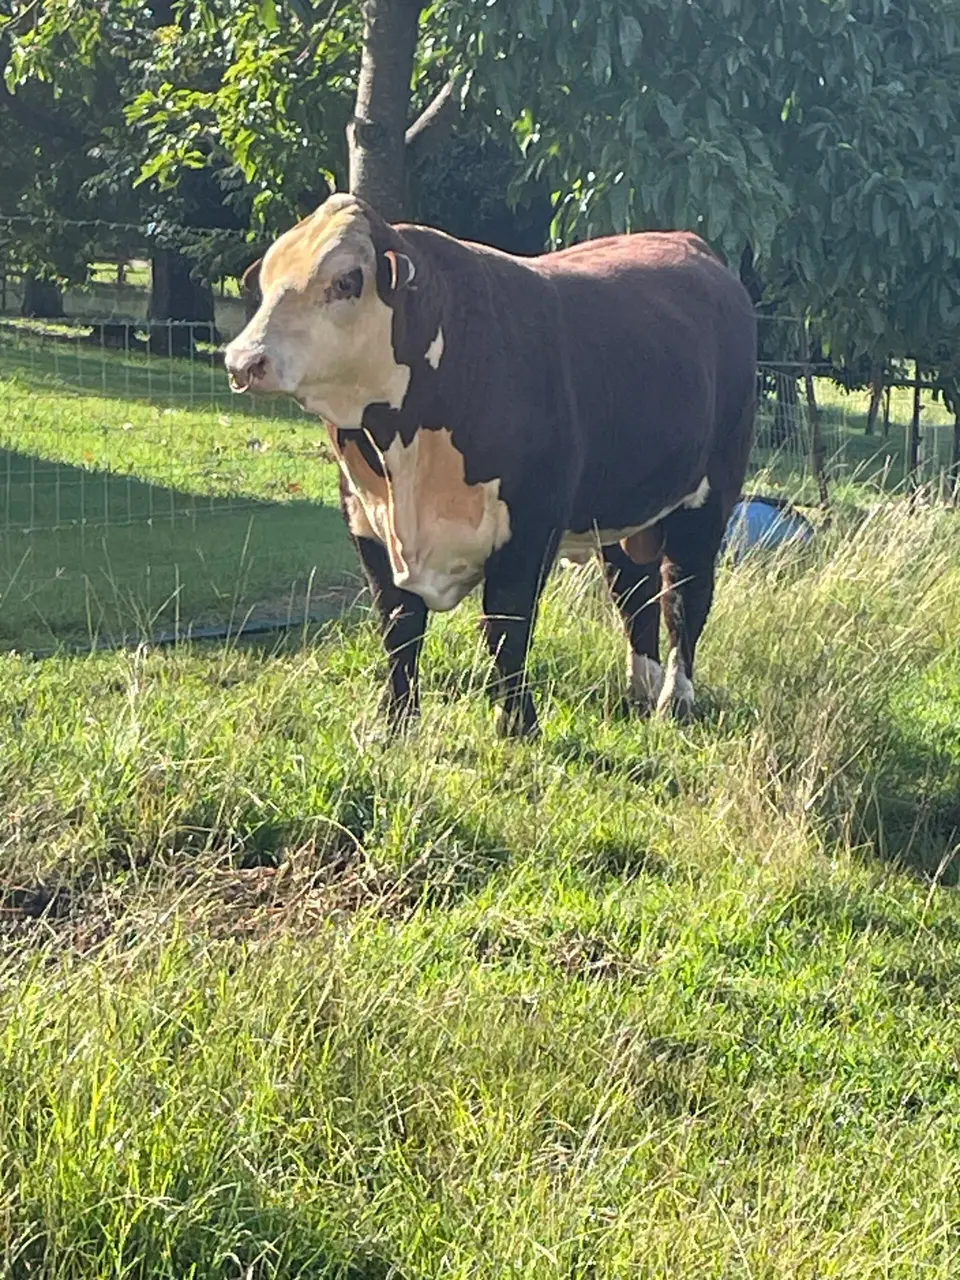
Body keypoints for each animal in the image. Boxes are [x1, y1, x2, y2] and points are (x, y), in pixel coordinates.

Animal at [224, 193, 757, 739]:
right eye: (267, 282)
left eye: (347, 280)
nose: (242, 361)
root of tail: (688, 243)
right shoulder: (367, 524)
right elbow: (399, 627)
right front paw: (395, 725)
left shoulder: (529, 526)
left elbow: (507, 627)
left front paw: (518, 726)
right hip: (622, 509)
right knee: (635, 593)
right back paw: (641, 691)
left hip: (709, 498)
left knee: (684, 595)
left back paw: (676, 699)